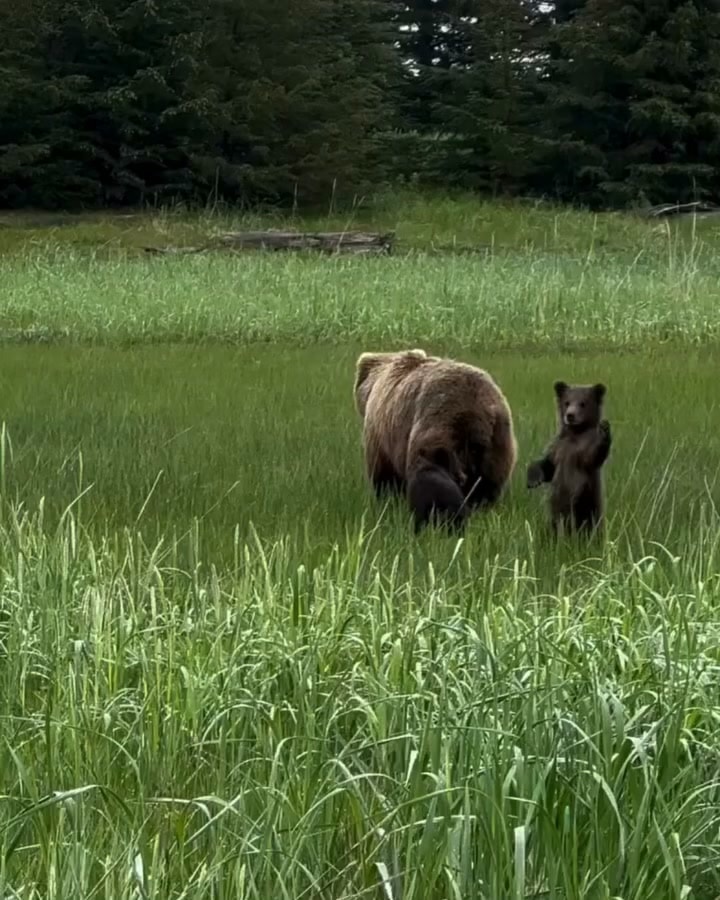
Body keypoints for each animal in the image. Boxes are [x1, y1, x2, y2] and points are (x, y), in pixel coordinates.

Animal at [353, 348, 517, 532]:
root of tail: (476, 412)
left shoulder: (380, 435)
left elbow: (384, 477)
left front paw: (388, 503)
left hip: (438, 427)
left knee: (433, 478)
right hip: (498, 442)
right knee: (487, 487)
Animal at [526, 380, 612, 534]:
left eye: (583, 403)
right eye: (567, 402)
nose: (570, 415)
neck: (575, 435)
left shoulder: (583, 454)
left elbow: (594, 456)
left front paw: (604, 431)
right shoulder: (558, 448)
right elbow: (546, 466)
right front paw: (533, 479)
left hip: (588, 508)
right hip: (554, 517)